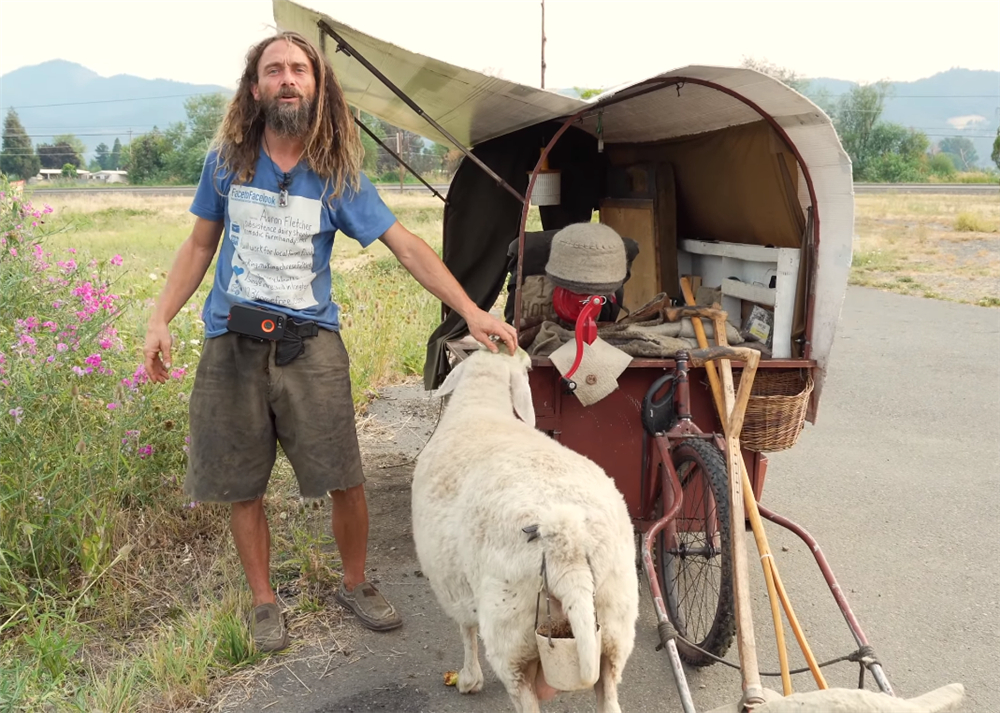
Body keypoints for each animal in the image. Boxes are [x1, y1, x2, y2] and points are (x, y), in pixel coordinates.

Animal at [412, 348, 640, 708]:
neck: (481, 403)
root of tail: (567, 547)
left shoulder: (452, 585)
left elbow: (465, 630)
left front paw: (469, 679)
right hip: (615, 622)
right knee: (609, 694)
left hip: (510, 631)